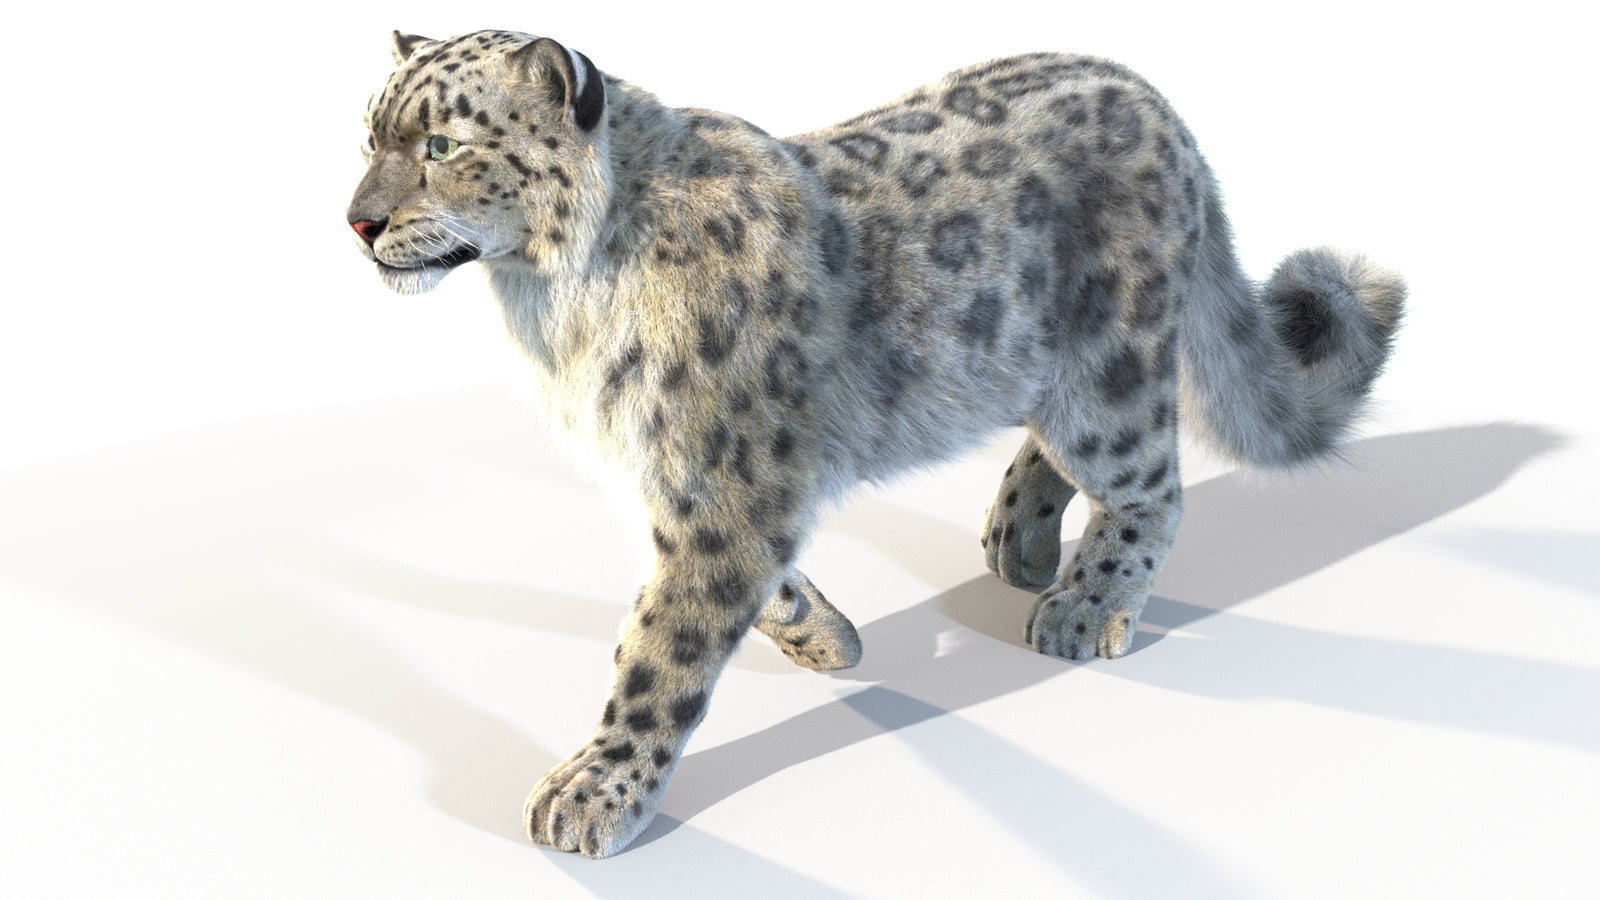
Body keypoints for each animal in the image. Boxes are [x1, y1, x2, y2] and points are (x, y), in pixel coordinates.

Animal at [347, 29, 1405, 858]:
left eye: (441, 144)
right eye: (367, 136)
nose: (358, 221)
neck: (550, 307)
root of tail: (1157, 100)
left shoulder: (727, 483)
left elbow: (662, 641)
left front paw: (594, 789)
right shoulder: (679, 479)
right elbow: (738, 588)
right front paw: (829, 639)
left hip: (1109, 375)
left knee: (1151, 482)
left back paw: (1082, 604)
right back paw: (1018, 540)